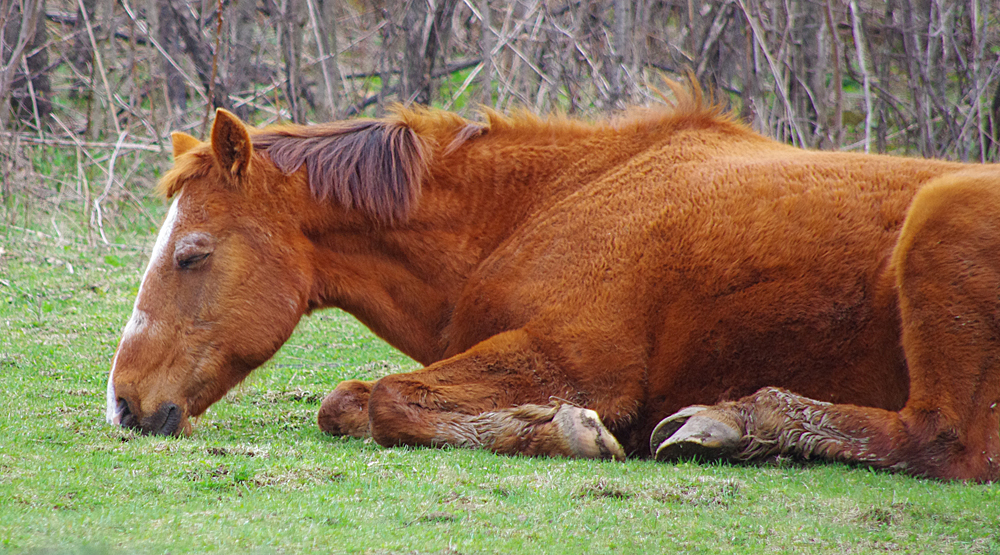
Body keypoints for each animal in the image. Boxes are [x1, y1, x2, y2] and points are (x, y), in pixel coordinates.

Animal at [105, 89, 1000, 482]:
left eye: (191, 254)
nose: (122, 403)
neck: (544, 202)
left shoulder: (579, 360)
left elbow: (385, 400)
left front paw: (567, 428)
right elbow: (350, 402)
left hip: (940, 228)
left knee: (937, 441)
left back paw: (737, 420)